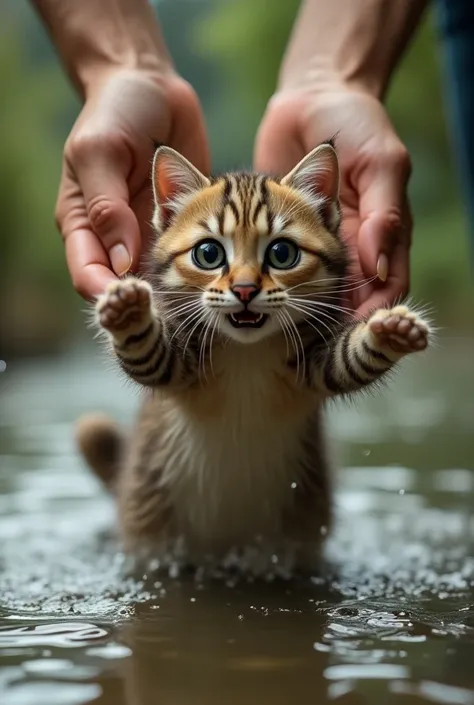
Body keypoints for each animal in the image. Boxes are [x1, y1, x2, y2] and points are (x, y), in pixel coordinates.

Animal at [76, 142, 432, 568]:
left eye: (281, 253)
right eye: (208, 253)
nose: (245, 289)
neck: (247, 352)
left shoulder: (314, 365)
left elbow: (349, 361)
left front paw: (390, 331)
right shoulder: (177, 364)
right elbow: (148, 354)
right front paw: (128, 311)